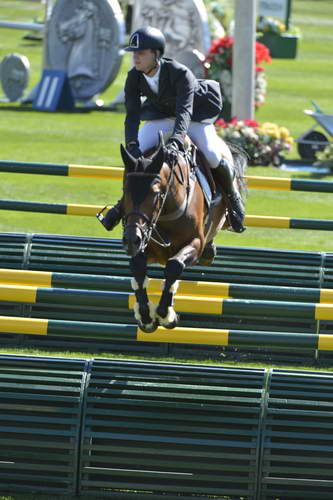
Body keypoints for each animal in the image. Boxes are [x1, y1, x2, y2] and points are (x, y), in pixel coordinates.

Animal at [120, 132, 245, 332]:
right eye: (125, 191)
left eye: (155, 193)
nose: (132, 240)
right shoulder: (144, 243)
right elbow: (138, 268)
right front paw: (146, 316)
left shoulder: (194, 242)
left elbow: (174, 266)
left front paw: (166, 315)